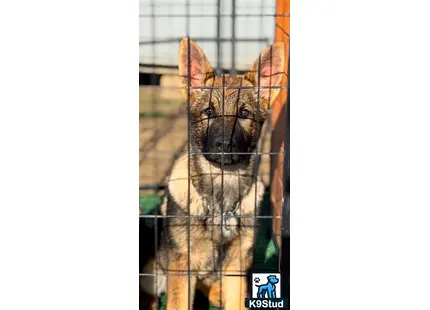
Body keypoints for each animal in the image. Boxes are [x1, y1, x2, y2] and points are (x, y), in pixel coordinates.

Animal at [139, 38, 284, 310]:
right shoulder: (181, 267)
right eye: (209, 111)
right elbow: (178, 303)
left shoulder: (237, 265)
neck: (220, 202)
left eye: (244, 113)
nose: (224, 145)